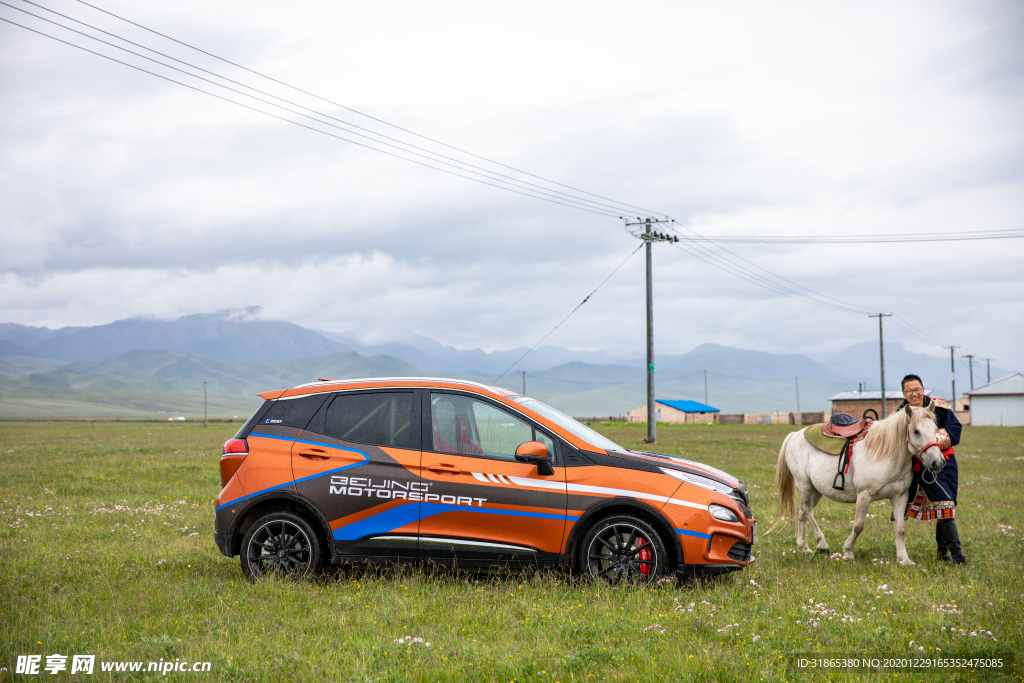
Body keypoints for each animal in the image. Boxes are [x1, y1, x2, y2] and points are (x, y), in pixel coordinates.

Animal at [778, 405, 946, 565]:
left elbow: (900, 529)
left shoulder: (900, 497)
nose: (937, 462)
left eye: (935, 429)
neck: (885, 453)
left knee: (802, 511)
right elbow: (858, 526)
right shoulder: (865, 495)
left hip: (815, 490)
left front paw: (904, 559)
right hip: (804, 485)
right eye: (916, 431)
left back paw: (803, 547)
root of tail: (795, 435)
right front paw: (848, 552)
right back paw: (822, 545)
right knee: (807, 511)